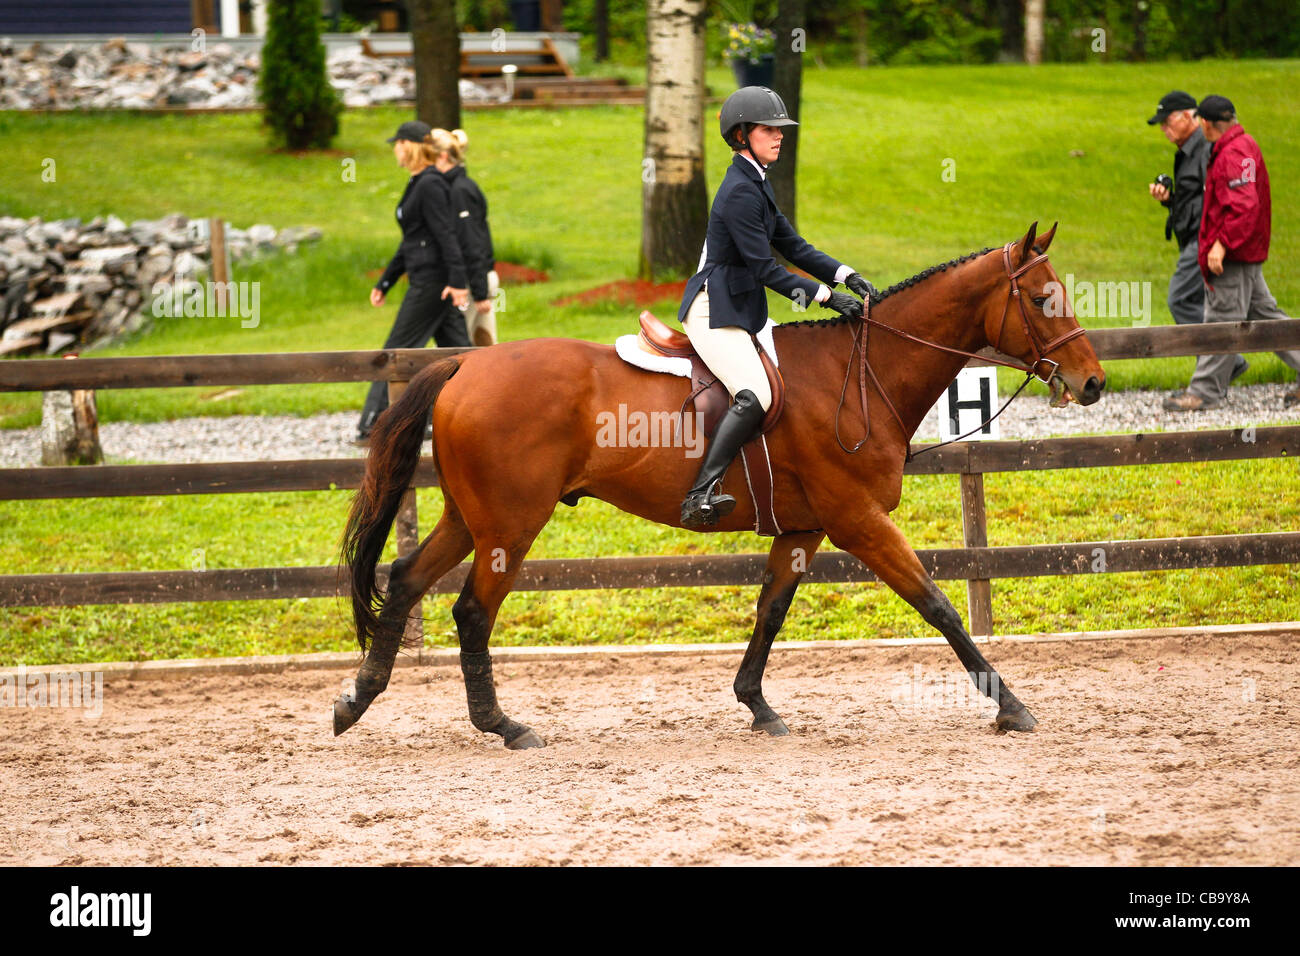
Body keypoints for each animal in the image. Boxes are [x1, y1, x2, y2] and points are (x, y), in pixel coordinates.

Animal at [338, 222, 1107, 749]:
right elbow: (937, 604)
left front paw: (757, 706)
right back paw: (502, 724)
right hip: (509, 524)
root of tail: (466, 365)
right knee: (471, 610)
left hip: (471, 516)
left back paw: (357, 700)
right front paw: (1010, 705)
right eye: (1044, 298)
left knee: (406, 580)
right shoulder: (857, 518)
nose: (1093, 383)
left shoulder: (806, 526)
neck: (861, 373)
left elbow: (771, 610)